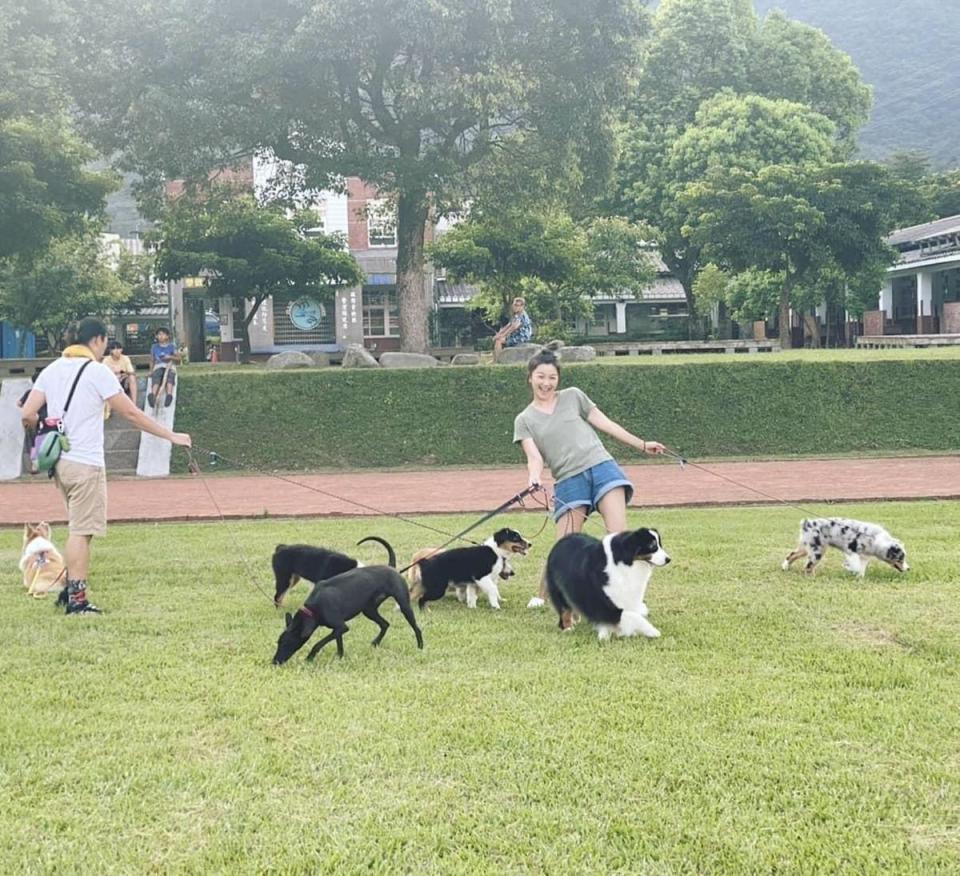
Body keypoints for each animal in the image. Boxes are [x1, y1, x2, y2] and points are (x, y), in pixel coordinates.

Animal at [270, 536, 420, 668]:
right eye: (278, 642)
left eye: (287, 643)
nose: (274, 662)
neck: (314, 607)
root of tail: (391, 567)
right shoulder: (338, 628)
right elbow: (339, 643)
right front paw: (340, 657)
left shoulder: (341, 627)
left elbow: (318, 643)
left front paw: (310, 657)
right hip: (369, 610)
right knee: (385, 624)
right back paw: (375, 643)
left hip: (404, 605)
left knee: (416, 628)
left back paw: (420, 646)